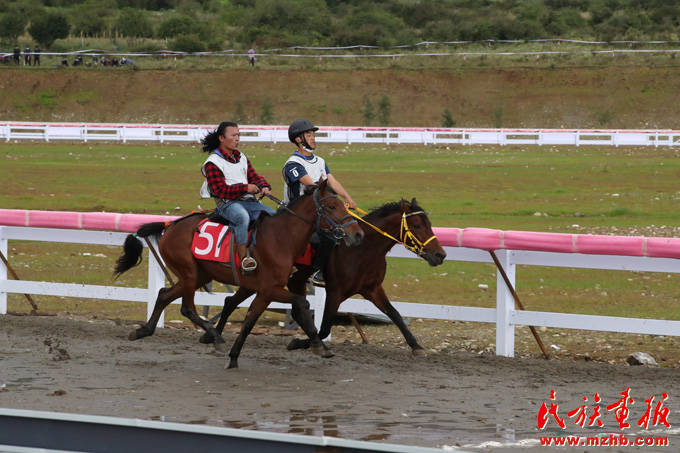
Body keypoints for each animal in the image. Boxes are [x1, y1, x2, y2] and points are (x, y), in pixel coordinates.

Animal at [114, 180, 364, 368]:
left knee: (164, 294)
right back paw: (215, 337)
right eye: (332, 207)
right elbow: (294, 306)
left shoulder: (265, 290)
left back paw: (143, 330)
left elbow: (252, 319)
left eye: (343, 205)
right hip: (188, 273)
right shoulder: (269, 289)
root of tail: (170, 225)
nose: (358, 234)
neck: (281, 237)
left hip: (199, 275)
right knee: (187, 308)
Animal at [201, 199, 446, 356]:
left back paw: (212, 336)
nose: (440, 255)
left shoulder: (373, 289)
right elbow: (326, 326)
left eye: (429, 224)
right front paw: (302, 342)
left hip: (274, 282)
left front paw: (416, 346)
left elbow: (394, 313)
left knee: (231, 301)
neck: (361, 249)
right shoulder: (335, 291)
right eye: (417, 225)